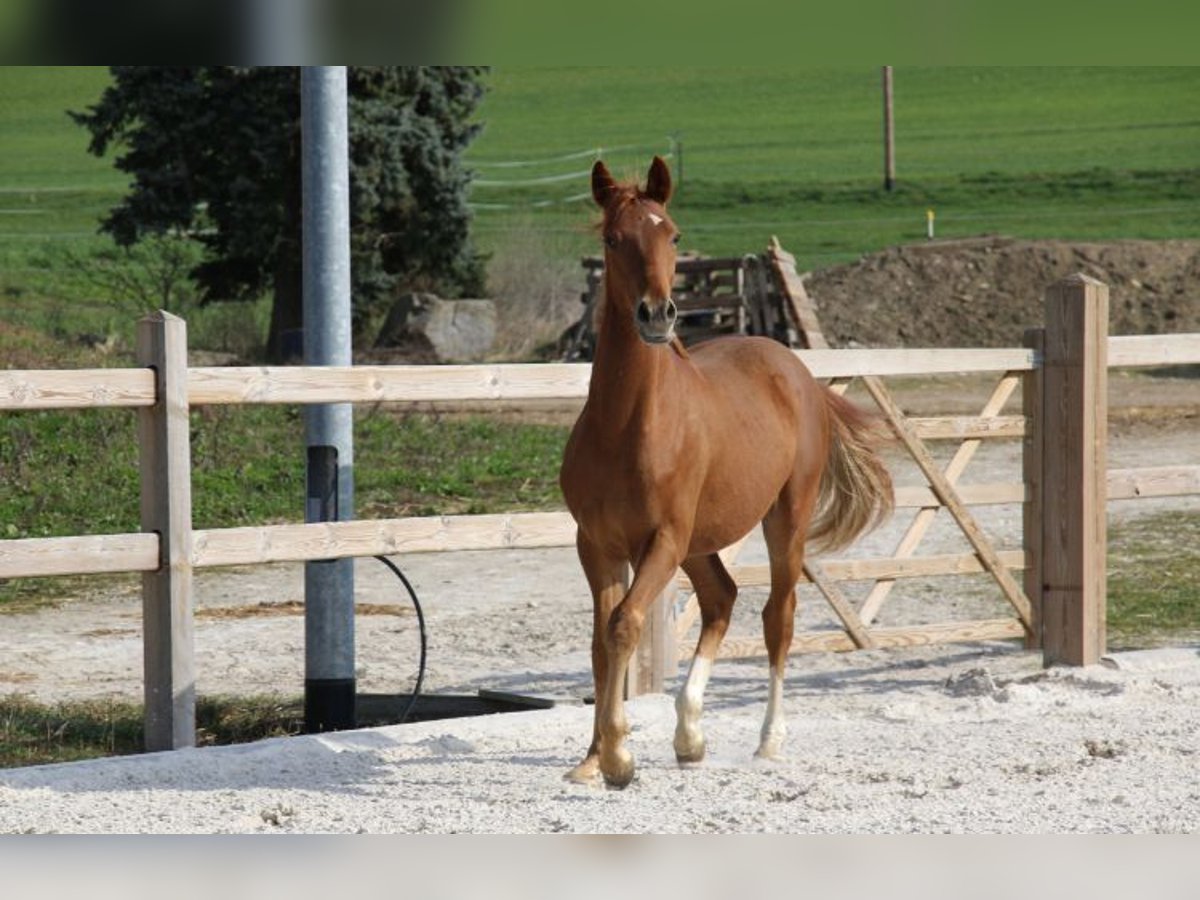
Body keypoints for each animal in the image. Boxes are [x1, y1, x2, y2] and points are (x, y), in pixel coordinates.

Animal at [559, 158, 892, 792]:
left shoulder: (661, 540)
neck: (629, 426)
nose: (658, 314)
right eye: (613, 239)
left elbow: (623, 624)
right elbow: (597, 641)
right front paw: (591, 758)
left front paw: (618, 759)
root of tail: (797, 372)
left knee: (776, 617)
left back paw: (768, 740)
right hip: (698, 543)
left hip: (782, 521)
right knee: (721, 599)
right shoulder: (596, 544)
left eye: (673, 236)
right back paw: (689, 736)